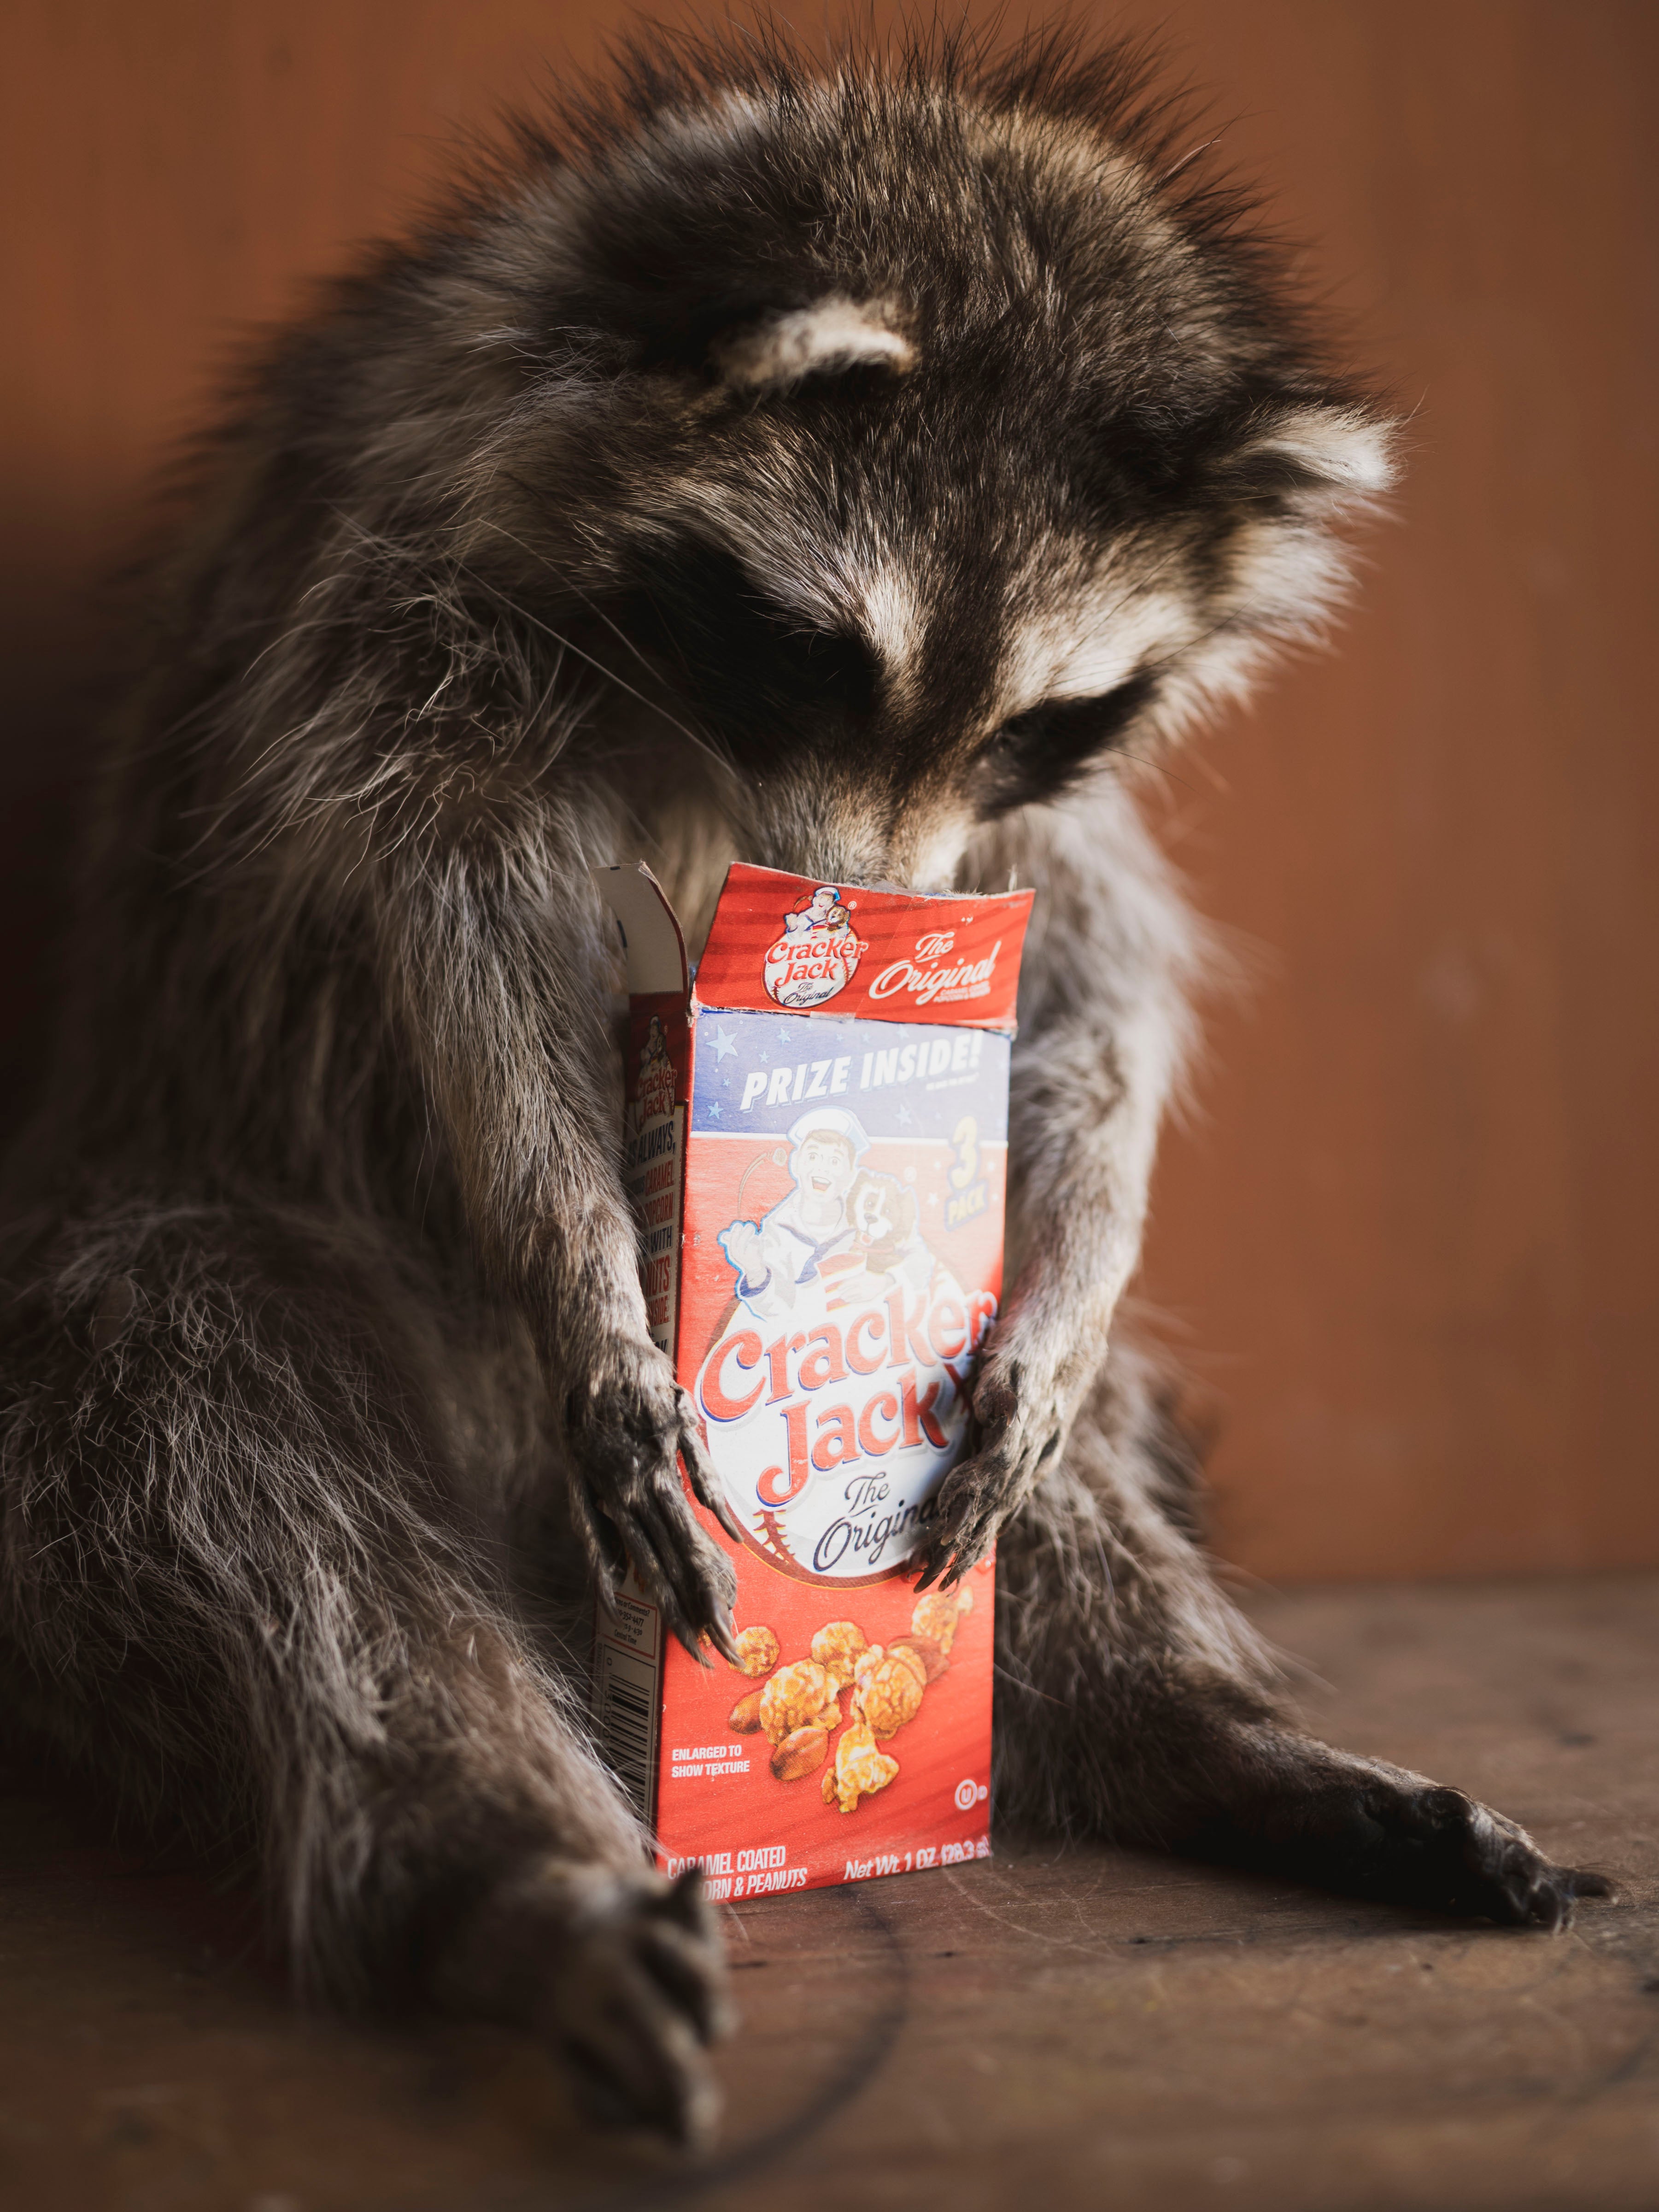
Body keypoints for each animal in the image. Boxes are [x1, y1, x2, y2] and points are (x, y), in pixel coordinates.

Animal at [0, 24, 1604, 2145]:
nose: (869, 917)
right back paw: (504, 1862)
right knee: (230, 1449)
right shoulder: (379, 633)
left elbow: (1092, 982)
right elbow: (453, 960)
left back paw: (1193, 1728)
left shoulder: (1037, 835)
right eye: (818, 654)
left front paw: (1073, 1227)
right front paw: (582, 1263)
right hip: (247, 1265)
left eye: (1042, 718)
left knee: (1056, 1499)